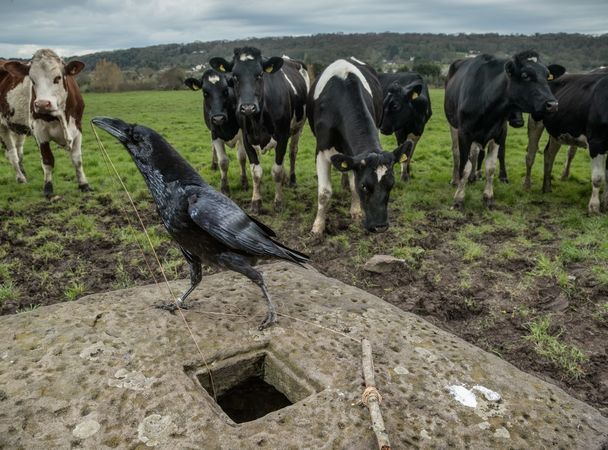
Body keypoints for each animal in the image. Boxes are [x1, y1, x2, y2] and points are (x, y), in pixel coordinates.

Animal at [2, 48, 89, 198]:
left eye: (58, 78)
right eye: (32, 79)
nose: (42, 104)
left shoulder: (77, 128)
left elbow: (77, 159)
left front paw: (84, 184)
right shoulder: (40, 131)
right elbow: (48, 161)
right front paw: (48, 188)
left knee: (19, 152)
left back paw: (23, 172)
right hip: (2, 127)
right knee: (12, 154)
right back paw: (20, 178)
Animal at [210, 48, 314, 214]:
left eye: (259, 74)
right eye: (235, 76)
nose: (247, 107)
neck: (258, 119)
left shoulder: (282, 136)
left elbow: (276, 171)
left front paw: (278, 202)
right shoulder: (246, 138)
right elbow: (256, 172)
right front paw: (256, 201)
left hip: (299, 126)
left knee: (292, 152)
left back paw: (291, 179)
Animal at [306, 58, 410, 237]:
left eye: (391, 185)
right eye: (365, 186)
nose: (380, 226)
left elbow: (353, 182)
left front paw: (355, 211)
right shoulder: (321, 150)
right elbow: (324, 192)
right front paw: (318, 227)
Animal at [444, 50, 564, 208]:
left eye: (547, 76)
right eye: (525, 75)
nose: (553, 104)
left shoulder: (498, 133)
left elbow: (491, 166)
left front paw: (488, 197)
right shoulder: (465, 133)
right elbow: (465, 166)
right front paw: (459, 198)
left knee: (475, 153)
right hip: (453, 125)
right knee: (456, 152)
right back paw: (456, 179)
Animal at [524, 71, 608, 213]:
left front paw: (606, 204)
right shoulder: (596, 142)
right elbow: (598, 177)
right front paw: (594, 207)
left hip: (557, 131)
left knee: (549, 154)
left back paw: (547, 187)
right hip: (535, 121)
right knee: (531, 155)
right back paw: (527, 185)